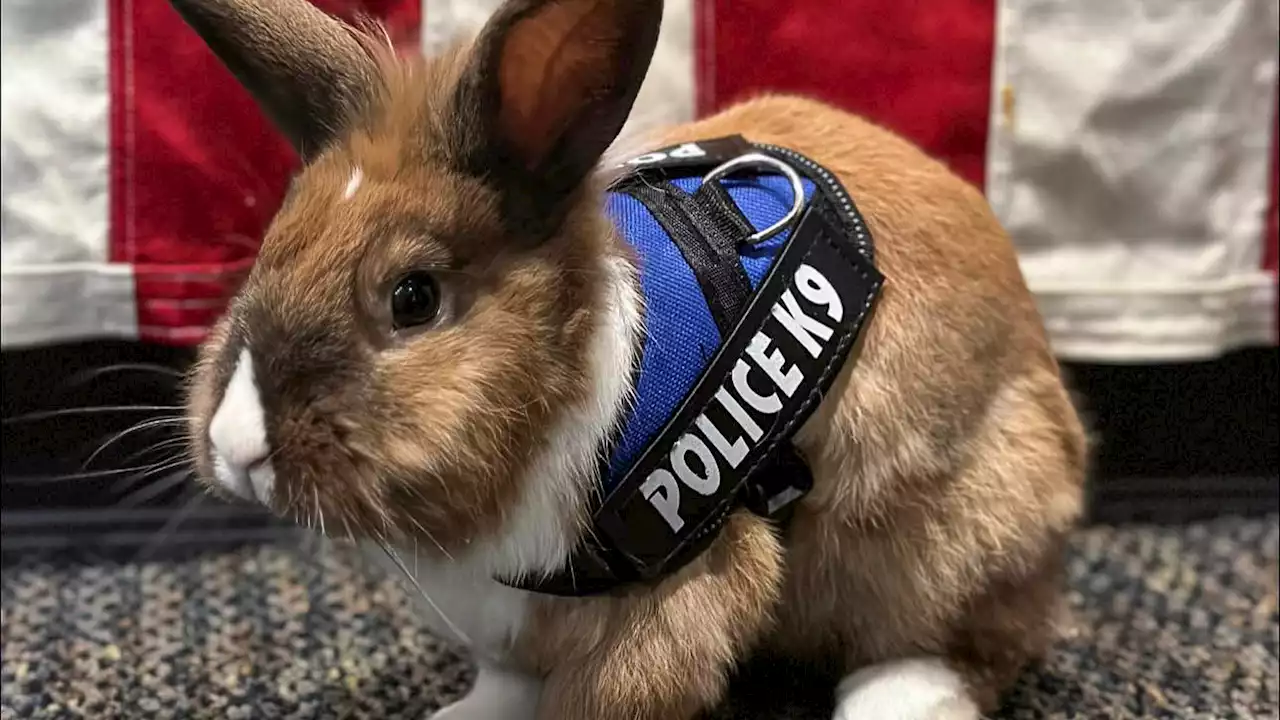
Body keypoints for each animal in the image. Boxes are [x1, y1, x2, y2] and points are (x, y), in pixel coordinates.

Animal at [175, 1, 1085, 717]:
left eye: (413, 297)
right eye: (270, 251)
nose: (236, 445)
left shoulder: (665, 608)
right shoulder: (506, 628)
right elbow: (505, 687)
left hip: (945, 540)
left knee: (972, 643)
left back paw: (897, 700)